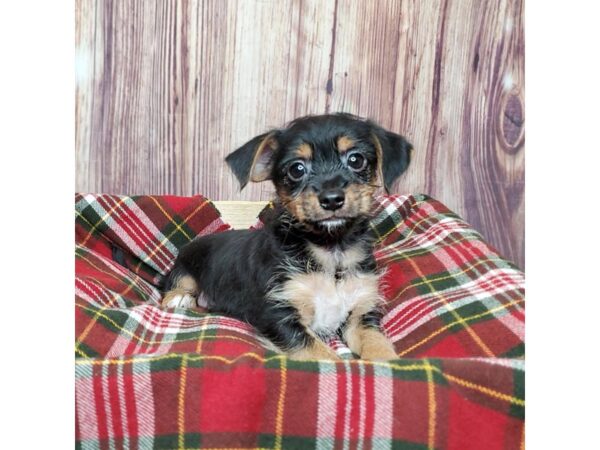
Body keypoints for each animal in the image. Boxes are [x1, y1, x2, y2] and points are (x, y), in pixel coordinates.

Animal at [162, 113, 410, 362]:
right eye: (296, 169)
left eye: (356, 160)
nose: (331, 199)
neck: (331, 250)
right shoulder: (278, 315)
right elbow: (327, 358)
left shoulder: (362, 310)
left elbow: (377, 345)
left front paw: (389, 364)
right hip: (184, 269)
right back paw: (179, 298)